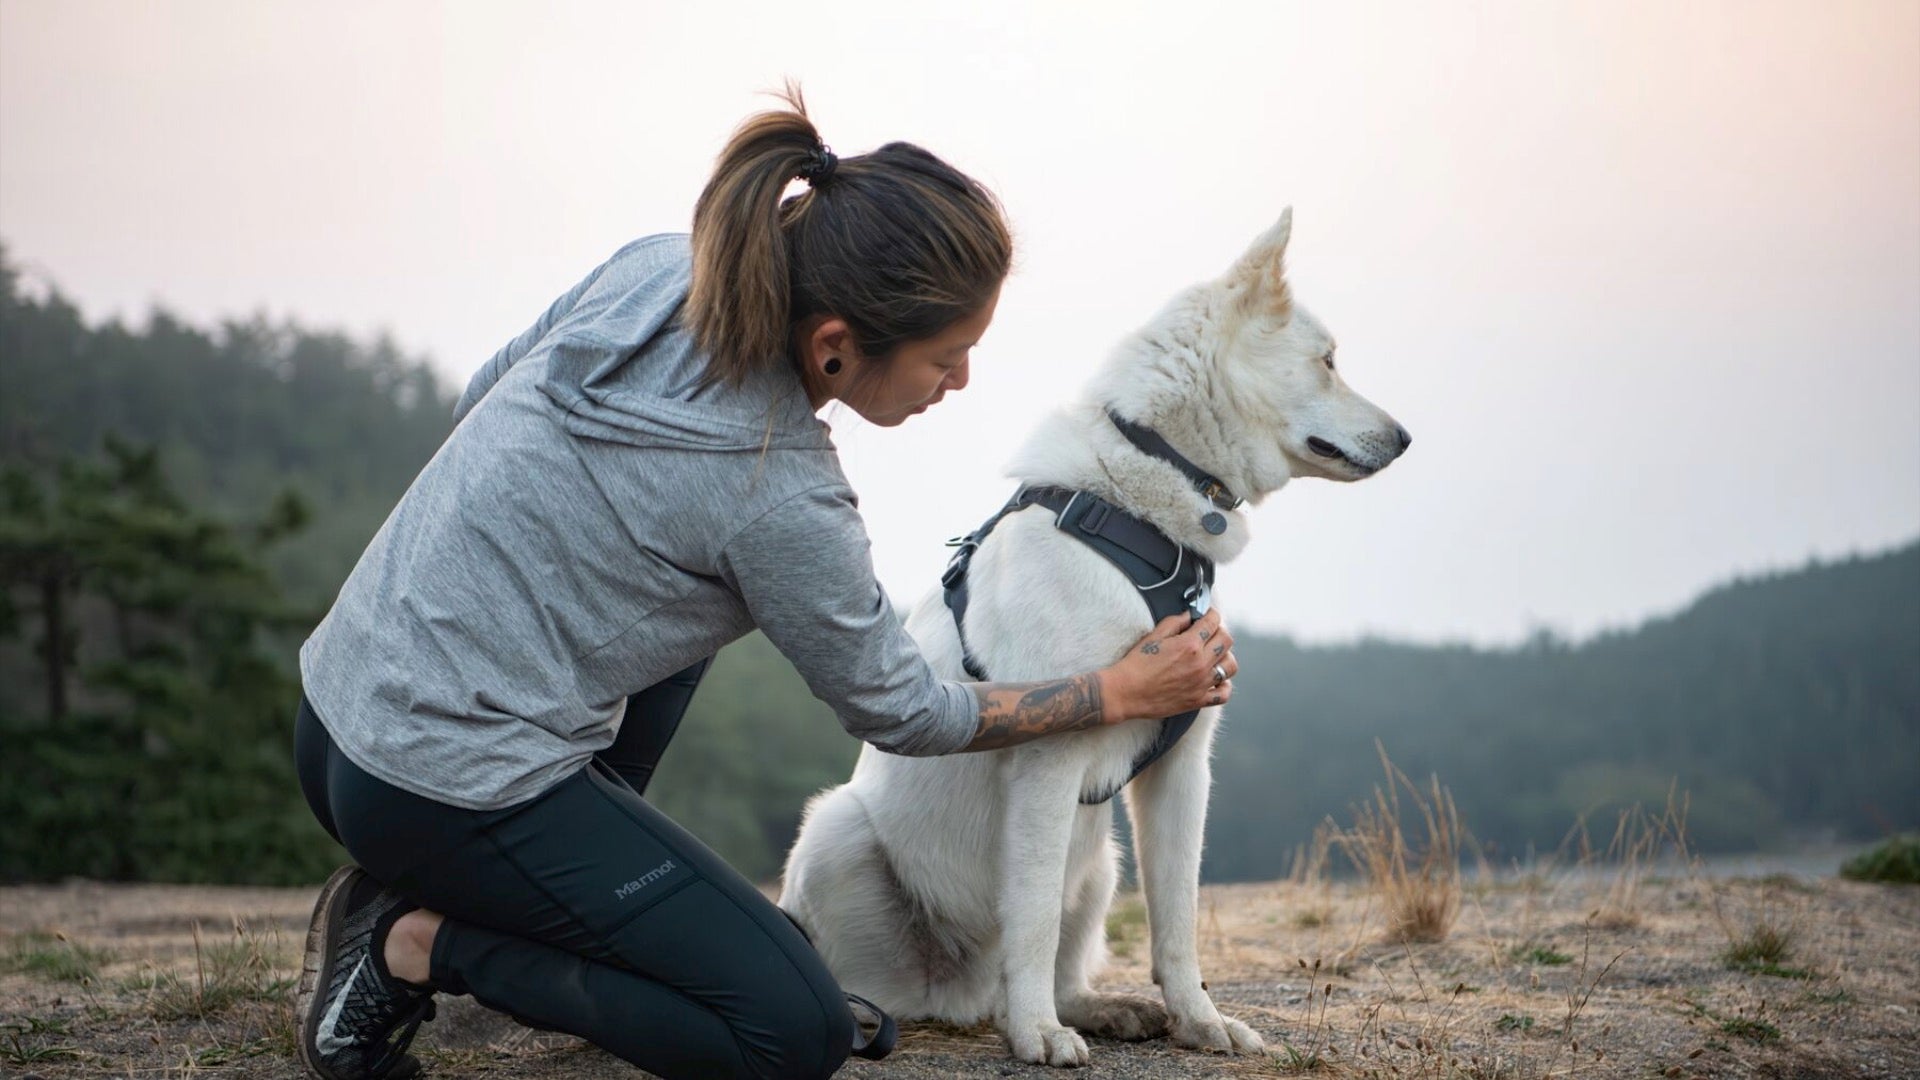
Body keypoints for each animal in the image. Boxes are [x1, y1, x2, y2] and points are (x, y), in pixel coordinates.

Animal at [779, 208, 1413, 1060]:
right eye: (1329, 361)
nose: (1406, 438)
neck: (1147, 512)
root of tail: (962, 998)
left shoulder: (1183, 768)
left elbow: (1177, 925)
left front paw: (1200, 1022)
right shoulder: (1048, 764)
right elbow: (1034, 916)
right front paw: (1037, 1038)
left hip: (1102, 859)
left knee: (1061, 973)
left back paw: (1101, 1010)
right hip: (836, 829)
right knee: (917, 975)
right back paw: (923, 1014)